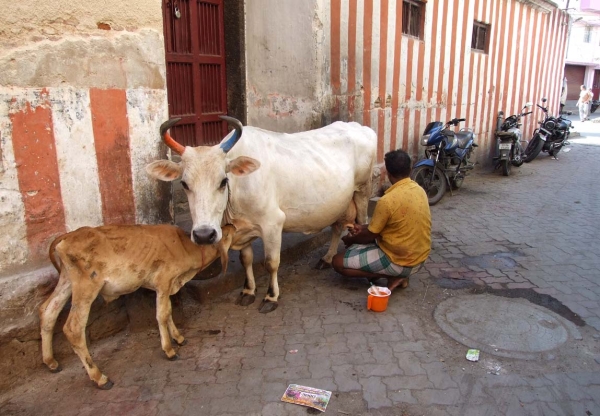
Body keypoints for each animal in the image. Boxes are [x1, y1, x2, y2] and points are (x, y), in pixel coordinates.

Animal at [37, 224, 239, 390]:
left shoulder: (166, 286)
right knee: (73, 329)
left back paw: (50, 361)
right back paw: (99, 377)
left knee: (48, 311)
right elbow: (162, 314)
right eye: (229, 233)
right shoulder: (163, 281)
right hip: (86, 287)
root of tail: (66, 237)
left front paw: (179, 338)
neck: (185, 247)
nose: (232, 225)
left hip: (67, 280)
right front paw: (169, 350)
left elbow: (168, 312)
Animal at [148, 116, 376, 312]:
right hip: (340, 202)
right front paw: (248, 291)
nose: (204, 235)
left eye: (223, 181)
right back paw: (326, 259)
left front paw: (271, 297)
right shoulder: (242, 229)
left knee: (362, 221)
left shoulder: (273, 223)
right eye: (184, 184)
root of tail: (361, 127)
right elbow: (246, 260)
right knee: (337, 228)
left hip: (362, 190)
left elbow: (271, 262)